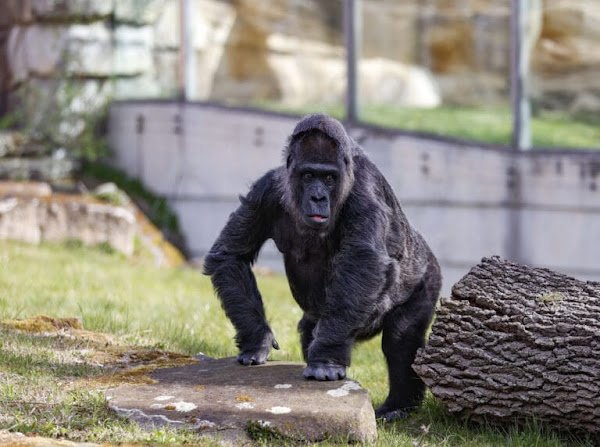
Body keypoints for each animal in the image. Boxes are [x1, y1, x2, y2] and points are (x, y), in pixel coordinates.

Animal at [204, 114, 442, 422]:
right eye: (308, 176)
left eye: (329, 178)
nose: (318, 197)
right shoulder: (266, 189)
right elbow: (231, 255)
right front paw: (257, 339)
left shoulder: (364, 191)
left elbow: (363, 261)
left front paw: (327, 359)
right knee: (310, 328)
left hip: (429, 277)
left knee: (400, 338)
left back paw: (399, 406)